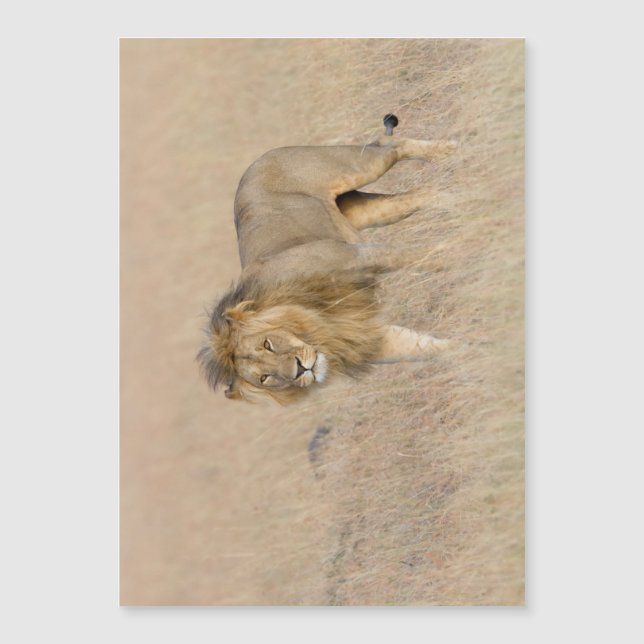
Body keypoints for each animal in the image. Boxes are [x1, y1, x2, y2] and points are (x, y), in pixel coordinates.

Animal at [198, 114, 455, 404]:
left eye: (268, 344)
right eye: (265, 377)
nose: (300, 370)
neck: (306, 309)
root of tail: (258, 160)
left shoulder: (361, 255)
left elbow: (424, 256)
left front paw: (462, 246)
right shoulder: (364, 336)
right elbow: (422, 347)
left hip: (359, 167)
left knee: (390, 145)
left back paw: (450, 150)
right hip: (365, 210)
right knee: (419, 195)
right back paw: (458, 200)